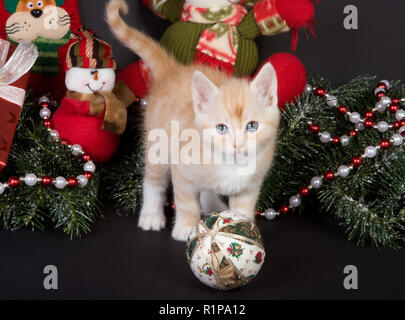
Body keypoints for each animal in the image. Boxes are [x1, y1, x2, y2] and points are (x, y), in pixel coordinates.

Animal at [105, 0, 280, 240]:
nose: (238, 145)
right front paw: (186, 228)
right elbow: (186, 203)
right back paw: (151, 215)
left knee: (205, 188)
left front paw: (243, 227)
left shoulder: (251, 185)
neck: (231, 165)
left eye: (252, 126)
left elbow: (243, 208)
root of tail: (172, 72)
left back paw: (214, 205)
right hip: (158, 145)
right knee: (154, 181)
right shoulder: (182, 170)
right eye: (221, 128)